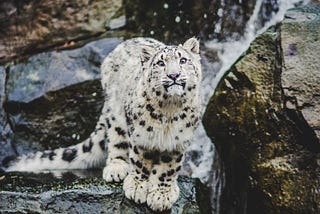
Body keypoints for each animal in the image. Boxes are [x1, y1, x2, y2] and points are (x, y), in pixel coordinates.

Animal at [6, 36, 201, 211]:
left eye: (183, 60)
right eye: (160, 63)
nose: (174, 75)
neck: (169, 112)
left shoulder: (178, 141)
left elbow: (168, 167)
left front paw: (162, 194)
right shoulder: (140, 134)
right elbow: (140, 160)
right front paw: (138, 186)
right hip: (117, 115)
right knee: (116, 139)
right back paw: (116, 168)